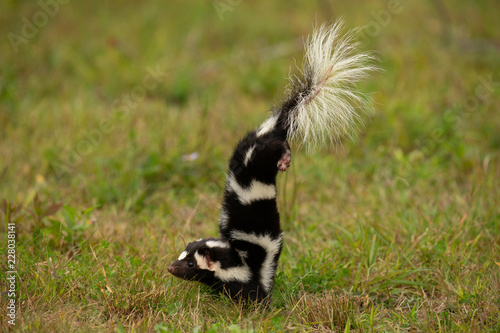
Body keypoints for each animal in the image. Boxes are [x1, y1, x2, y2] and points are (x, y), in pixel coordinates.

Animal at [169, 20, 378, 300]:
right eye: (181, 257)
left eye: (191, 264)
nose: (171, 267)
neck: (238, 260)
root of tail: (271, 128)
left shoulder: (258, 271)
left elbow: (254, 289)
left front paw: (258, 301)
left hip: (267, 151)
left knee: (282, 148)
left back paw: (285, 161)